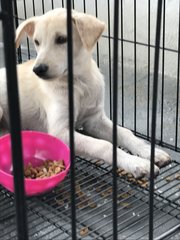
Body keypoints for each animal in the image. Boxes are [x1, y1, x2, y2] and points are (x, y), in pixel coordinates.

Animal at [0, 8, 171, 178]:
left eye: (61, 39)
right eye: (36, 42)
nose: (38, 69)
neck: (79, 84)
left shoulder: (94, 119)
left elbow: (125, 133)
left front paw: (150, 152)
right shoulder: (60, 131)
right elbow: (104, 145)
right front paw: (137, 163)